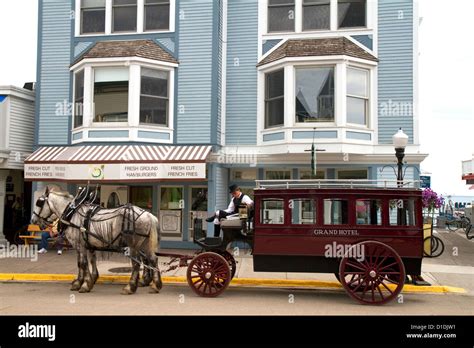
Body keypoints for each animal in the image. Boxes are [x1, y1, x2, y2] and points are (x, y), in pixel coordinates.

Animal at [31, 186, 163, 294]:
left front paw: (85, 284)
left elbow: (83, 263)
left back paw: (130, 287)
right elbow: (89, 261)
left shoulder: (80, 245)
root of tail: (148, 215)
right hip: (145, 244)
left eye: (39, 203)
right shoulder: (88, 244)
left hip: (134, 245)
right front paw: (86, 280)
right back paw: (155, 285)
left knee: (136, 264)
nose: (33, 220)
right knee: (152, 259)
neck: (72, 213)